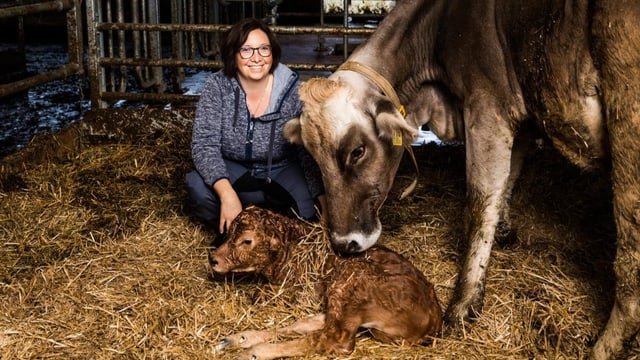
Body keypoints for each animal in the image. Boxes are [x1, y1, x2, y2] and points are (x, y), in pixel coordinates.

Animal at [209, 205, 440, 360]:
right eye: (228, 233)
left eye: (246, 241)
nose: (213, 259)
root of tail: (431, 319)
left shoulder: (297, 291)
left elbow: (260, 293)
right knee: (312, 324)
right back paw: (239, 339)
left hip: (348, 282)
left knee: (333, 338)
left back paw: (254, 352)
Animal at [284, 1, 640, 358]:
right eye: (313, 156)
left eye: (357, 151)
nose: (344, 244)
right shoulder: (519, 116)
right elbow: (508, 177)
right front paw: (505, 229)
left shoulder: (487, 108)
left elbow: (480, 205)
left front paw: (464, 305)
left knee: (630, 264)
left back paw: (602, 349)